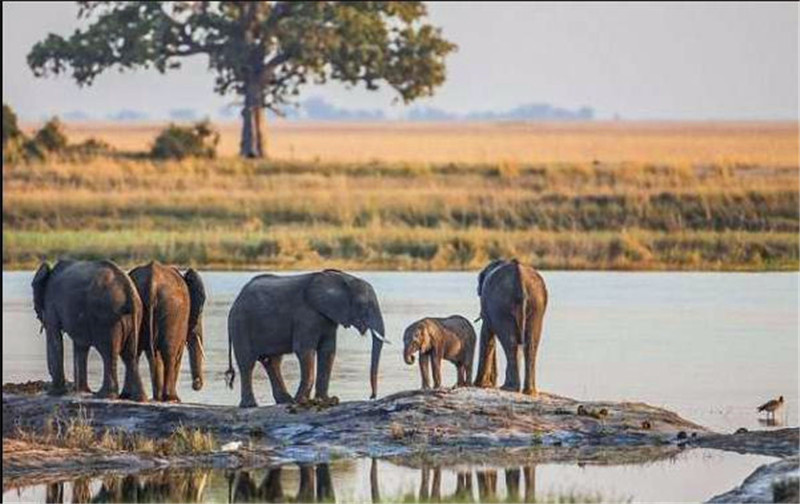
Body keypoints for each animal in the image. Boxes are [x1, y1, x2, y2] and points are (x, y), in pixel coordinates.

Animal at [31, 258, 147, 400]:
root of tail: (129, 291)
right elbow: (80, 344)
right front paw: (80, 391)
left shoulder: (51, 302)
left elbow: (54, 337)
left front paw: (54, 393)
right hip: (135, 316)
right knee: (129, 355)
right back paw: (139, 398)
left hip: (106, 317)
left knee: (108, 352)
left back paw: (104, 395)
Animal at [128, 264, 206, 402]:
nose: (196, 384)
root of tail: (152, 283)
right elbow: (178, 353)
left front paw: (158, 398)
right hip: (172, 312)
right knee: (170, 353)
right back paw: (172, 398)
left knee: (136, 352)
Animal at [225, 270, 388, 408]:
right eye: (363, 305)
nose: (372, 396)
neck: (343, 278)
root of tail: (237, 300)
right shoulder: (305, 315)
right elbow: (305, 350)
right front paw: (302, 401)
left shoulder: (328, 319)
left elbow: (328, 351)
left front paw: (327, 400)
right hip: (240, 323)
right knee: (247, 363)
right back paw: (251, 405)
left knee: (273, 362)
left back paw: (285, 401)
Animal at [472, 260, 548, 398]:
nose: (492, 381)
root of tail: (521, 280)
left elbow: (486, 334)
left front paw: (478, 385)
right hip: (537, 306)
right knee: (530, 345)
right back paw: (529, 392)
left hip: (501, 306)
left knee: (510, 343)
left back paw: (509, 388)